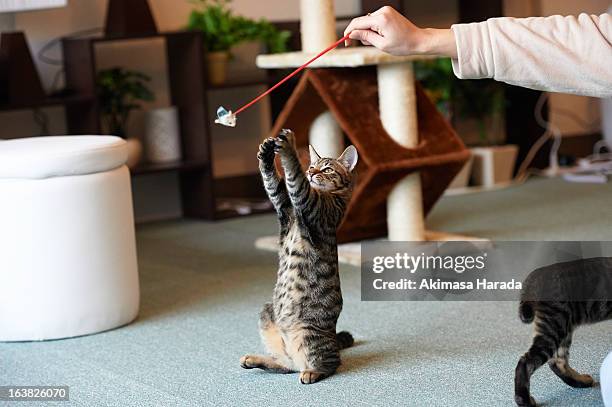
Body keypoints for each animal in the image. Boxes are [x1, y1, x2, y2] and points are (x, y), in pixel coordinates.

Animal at [240, 129, 358, 384]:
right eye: (312, 165)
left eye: (327, 169)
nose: (311, 173)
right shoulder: (285, 207)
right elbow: (273, 182)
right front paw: (266, 152)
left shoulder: (309, 204)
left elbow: (293, 175)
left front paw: (288, 146)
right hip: (268, 312)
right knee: (286, 364)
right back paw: (255, 360)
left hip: (307, 333)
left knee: (330, 363)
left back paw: (312, 372)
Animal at [516, 258, 612, 407]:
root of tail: (534, 276)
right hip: (555, 325)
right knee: (526, 362)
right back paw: (525, 401)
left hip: (563, 327)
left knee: (557, 362)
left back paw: (581, 381)